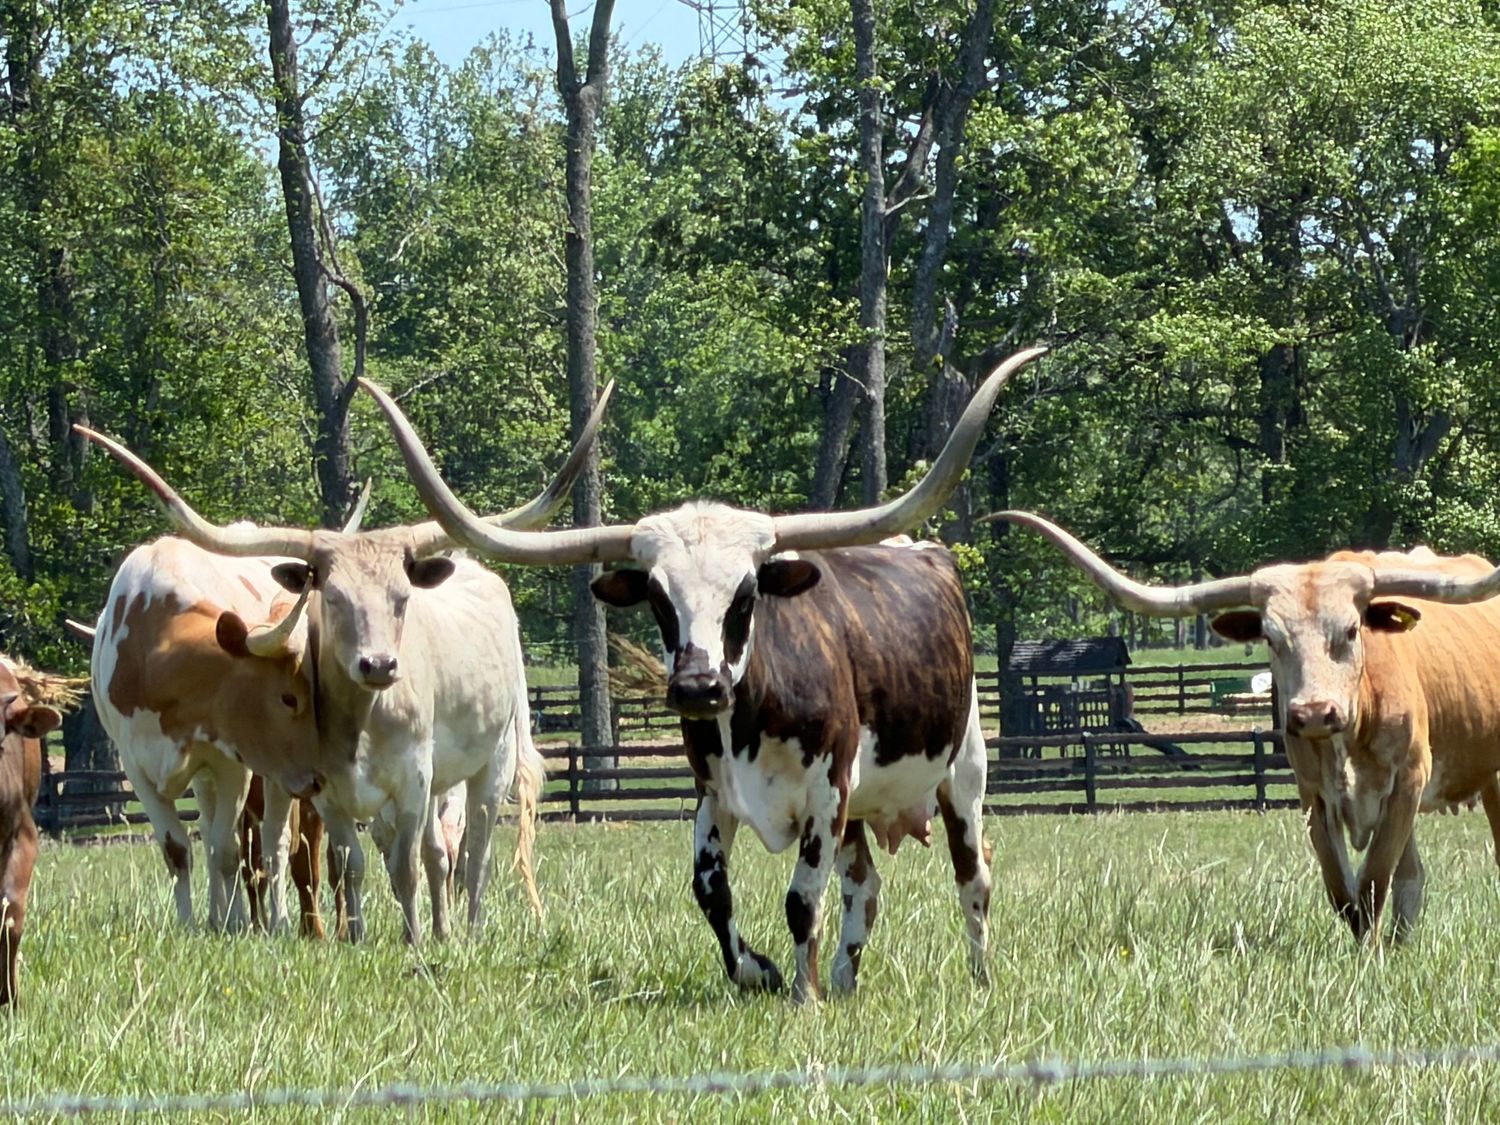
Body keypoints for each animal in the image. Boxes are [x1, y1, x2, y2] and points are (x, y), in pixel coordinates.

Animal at [75, 389, 613, 942]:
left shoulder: (392, 778)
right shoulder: (151, 767)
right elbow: (210, 850)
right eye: (331, 598)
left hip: (489, 763)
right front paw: (340, 934)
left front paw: (410, 938)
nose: (378, 664)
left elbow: (392, 864)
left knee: (470, 852)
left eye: (402, 597)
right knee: (420, 851)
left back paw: (461, 930)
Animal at [358, 345, 1046, 999]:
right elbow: (712, 892)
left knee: (972, 876)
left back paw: (978, 979)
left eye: (746, 594)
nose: (698, 686)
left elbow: (802, 899)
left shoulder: (826, 795)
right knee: (864, 885)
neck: (753, 717)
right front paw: (761, 972)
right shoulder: (715, 794)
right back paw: (845, 979)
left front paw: (803, 997)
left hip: (964, 773)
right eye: (659, 599)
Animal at [994, 510, 1500, 944]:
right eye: (1272, 639)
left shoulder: (1406, 783)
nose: (1314, 713)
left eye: (1352, 630)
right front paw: (1369, 955)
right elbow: (1347, 892)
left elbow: (1374, 882)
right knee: (1410, 877)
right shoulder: (1314, 795)